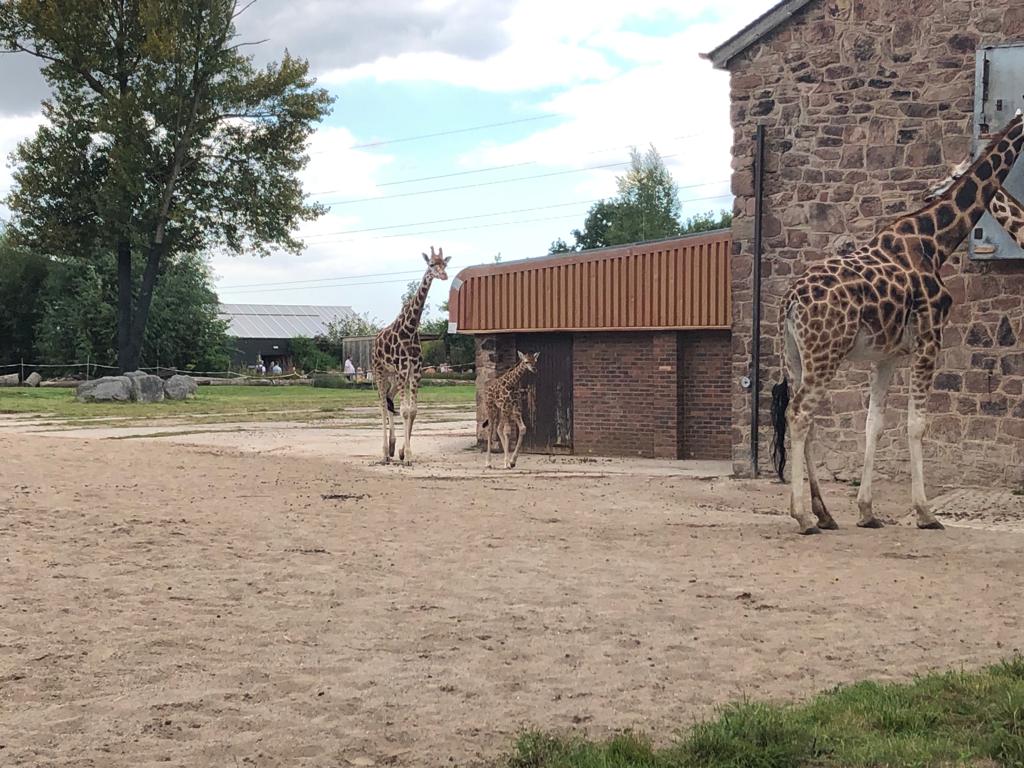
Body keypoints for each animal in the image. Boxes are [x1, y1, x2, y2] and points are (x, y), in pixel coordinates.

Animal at [371, 246, 450, 465]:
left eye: (444, 264)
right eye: (431, 264)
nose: (444, 275)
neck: (410, 328)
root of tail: (374, 340)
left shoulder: (415, 370)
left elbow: (412, 411)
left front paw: (403, 452)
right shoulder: (403, 369)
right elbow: (405, 410)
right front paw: (407, 456)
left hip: (393, 376)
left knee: (388, 399)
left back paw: (391, 447)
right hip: (380, 371)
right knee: (382, 403)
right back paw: (384, 453)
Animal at [769, 111, 1024, 535]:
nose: (929, 190)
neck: (935, 242)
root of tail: (790, 302)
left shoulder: (886, 355)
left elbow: (874, 423)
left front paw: (867, 511)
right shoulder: (930, 339)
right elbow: (917, 424)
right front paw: (925, 513)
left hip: (795, 356)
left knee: (805, 418)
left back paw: (825, 513)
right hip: (824, 354)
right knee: (800, 414)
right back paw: (803, 516)